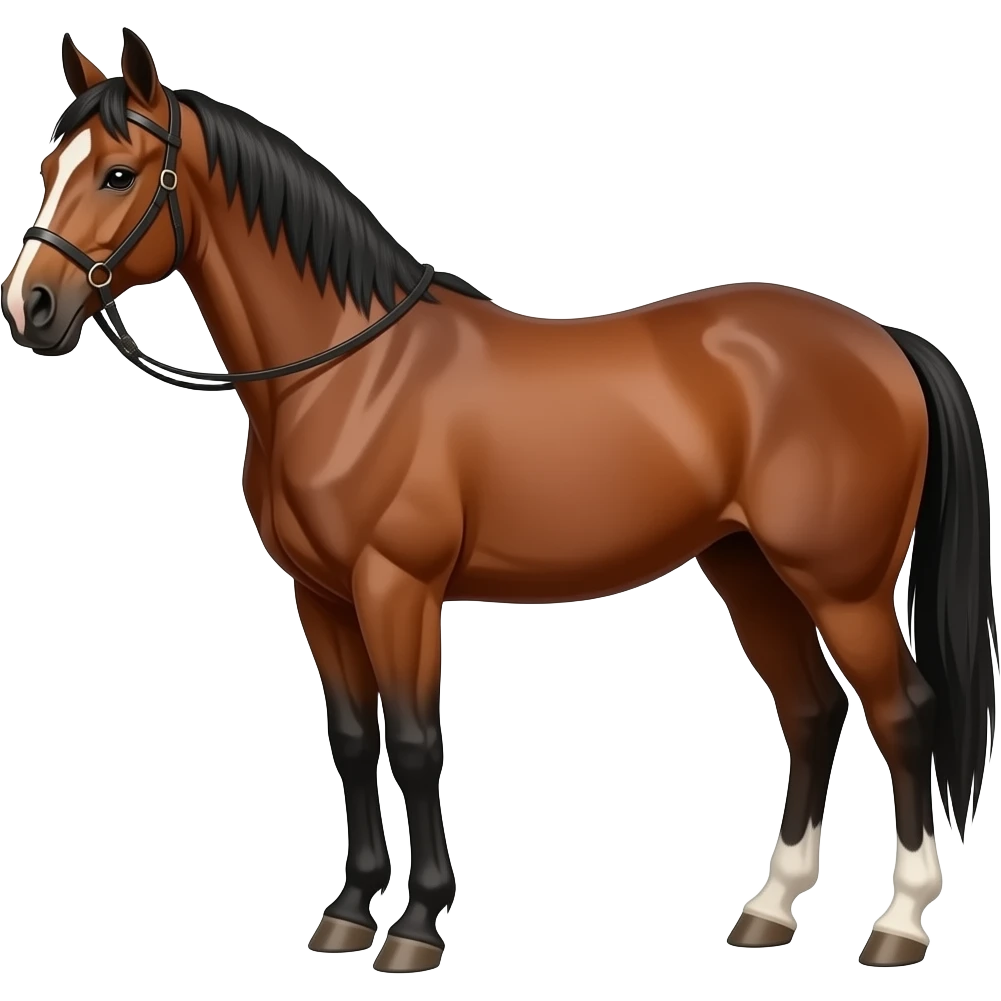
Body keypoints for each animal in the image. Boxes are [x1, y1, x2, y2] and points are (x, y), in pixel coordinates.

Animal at [2, 28, 996, 974]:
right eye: (48, 170)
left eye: (120, 172)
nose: (31, 307)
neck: (348, 372)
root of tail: (884, 339)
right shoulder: (320, 596)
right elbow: (352, 739)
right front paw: (346, 912)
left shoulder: (397, 588)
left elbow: (414, 742)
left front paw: (415, 927)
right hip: (746, 568)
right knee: (810, 711)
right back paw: (767, 910)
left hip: (840, 585)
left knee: (902, 712)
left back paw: (898, 924)